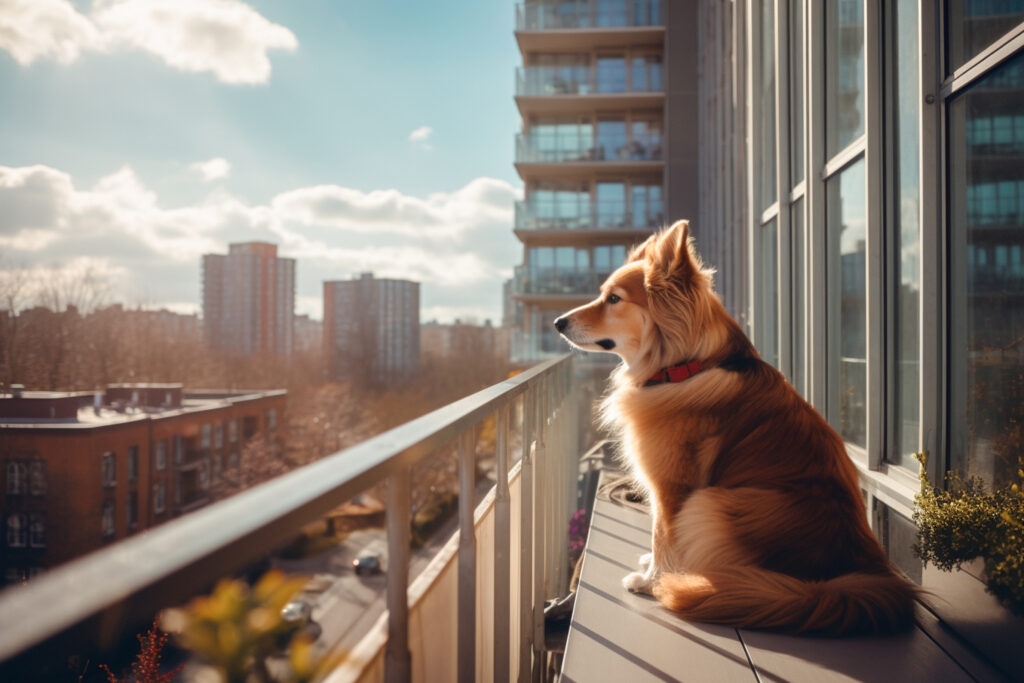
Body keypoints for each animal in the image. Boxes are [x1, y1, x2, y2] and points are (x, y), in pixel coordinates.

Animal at [557, 219, 917, 634]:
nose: (557, 323)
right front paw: (652, 568)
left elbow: (663, 534)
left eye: (614, 299)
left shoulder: (672, 486)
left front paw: (652, 581)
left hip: (713, 502)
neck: (684, 366)